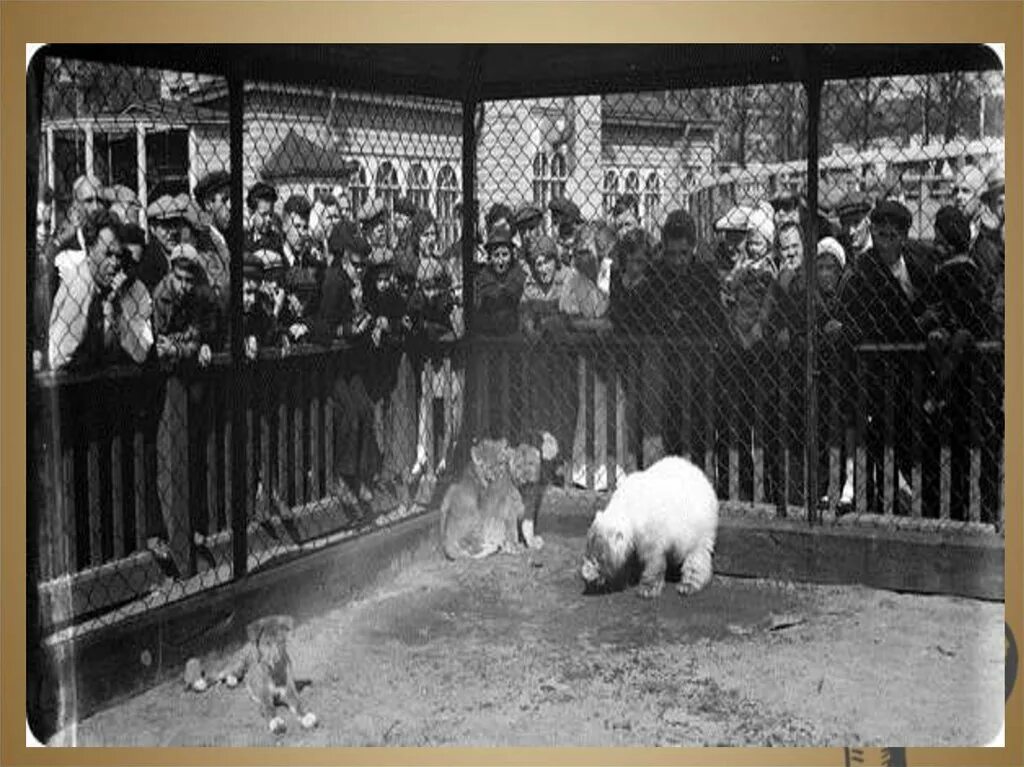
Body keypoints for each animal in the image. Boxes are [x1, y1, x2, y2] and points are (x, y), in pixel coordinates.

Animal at [581, 454, 716, 598]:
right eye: (587, 553)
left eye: (597, 559)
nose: (585, 576)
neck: (628, 506)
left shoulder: (651, 529)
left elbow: (653, 558)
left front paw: (646, 589)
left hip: (699, 524)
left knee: (697, 554)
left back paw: (687, 585)